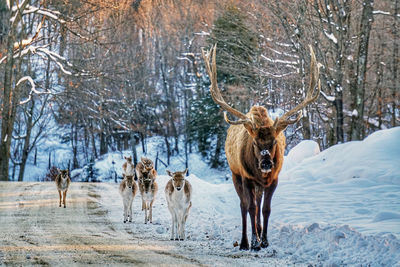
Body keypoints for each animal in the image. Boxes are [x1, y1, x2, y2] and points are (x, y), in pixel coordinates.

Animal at [202, 45, 320, 252]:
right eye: (255, 143)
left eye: (274, 142)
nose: (266, 163)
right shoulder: (247, 177)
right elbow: (250, 208)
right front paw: (255, 242)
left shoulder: (273, 179)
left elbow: (265, 209)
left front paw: (265, 240)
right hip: (236, 174)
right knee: (244, 205)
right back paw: (244, 242)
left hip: (258, 183)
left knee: (257, 204)